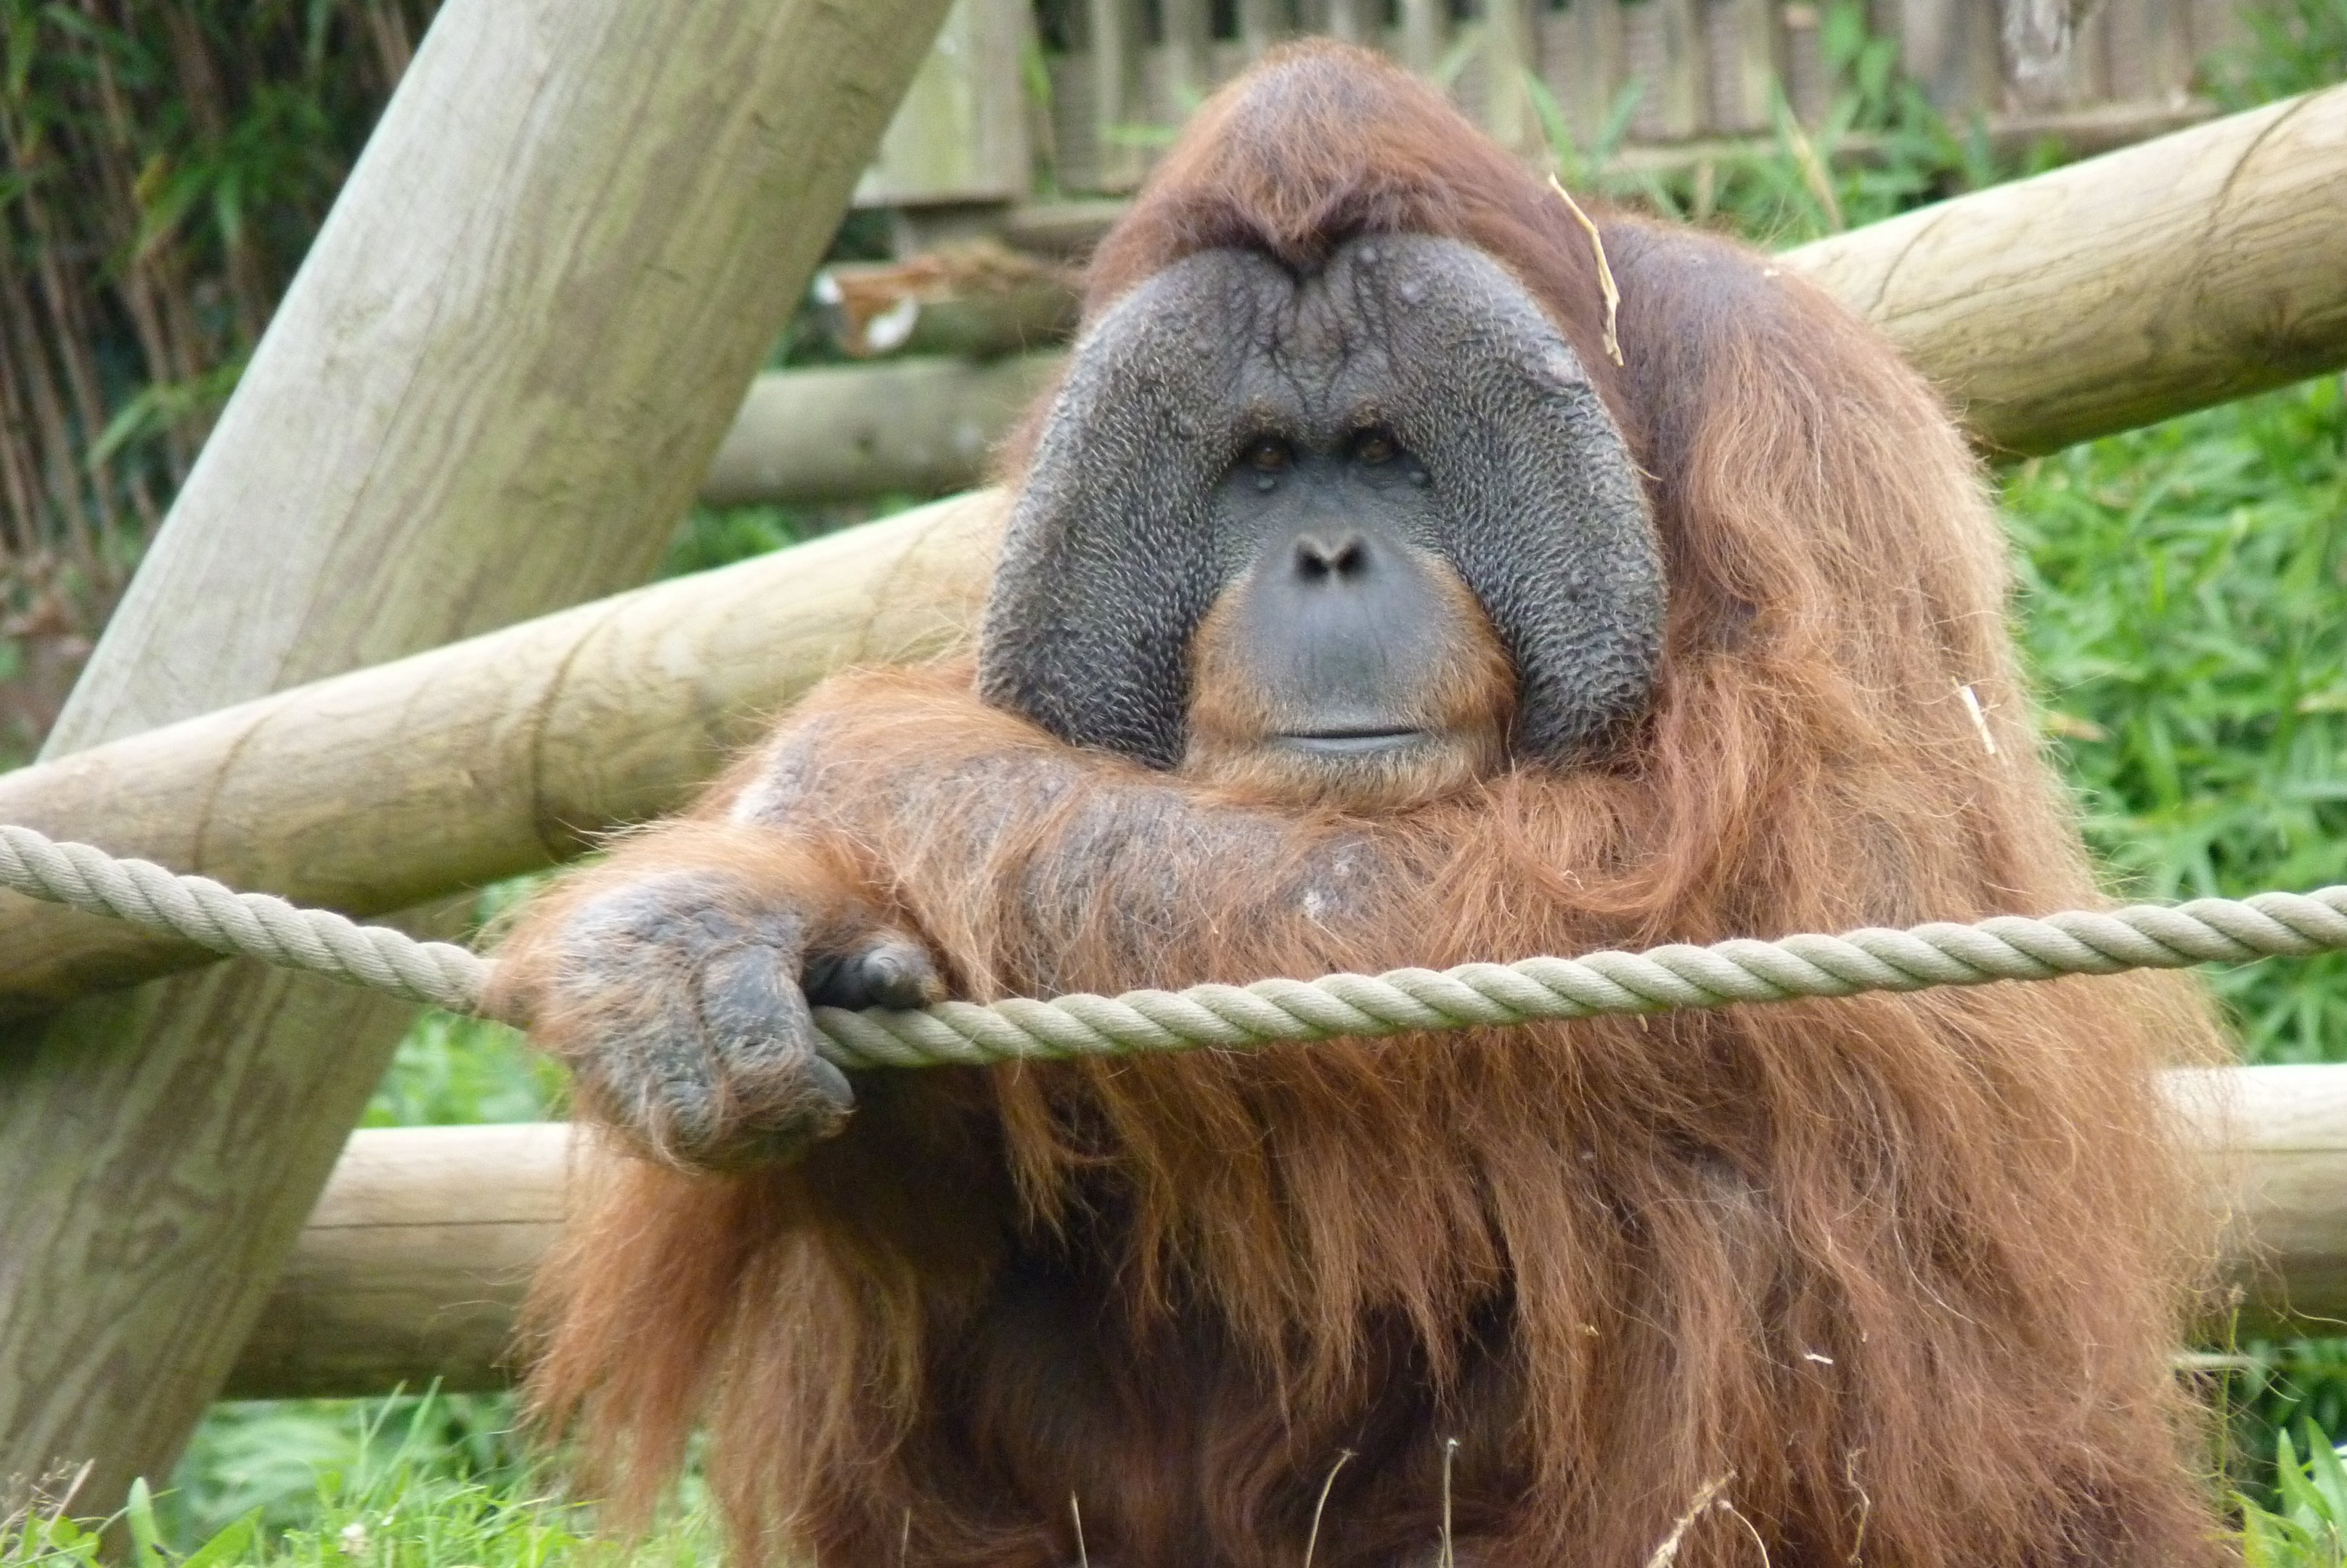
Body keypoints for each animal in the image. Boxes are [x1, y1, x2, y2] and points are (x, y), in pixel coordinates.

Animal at [490, 42, 2231, 1568]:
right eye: (1263, 465)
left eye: (1388, 453)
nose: (1327, 555)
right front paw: (721, 939)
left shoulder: (1803, 440)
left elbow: (1775, 920)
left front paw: (826, 790)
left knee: (1750, 1196)